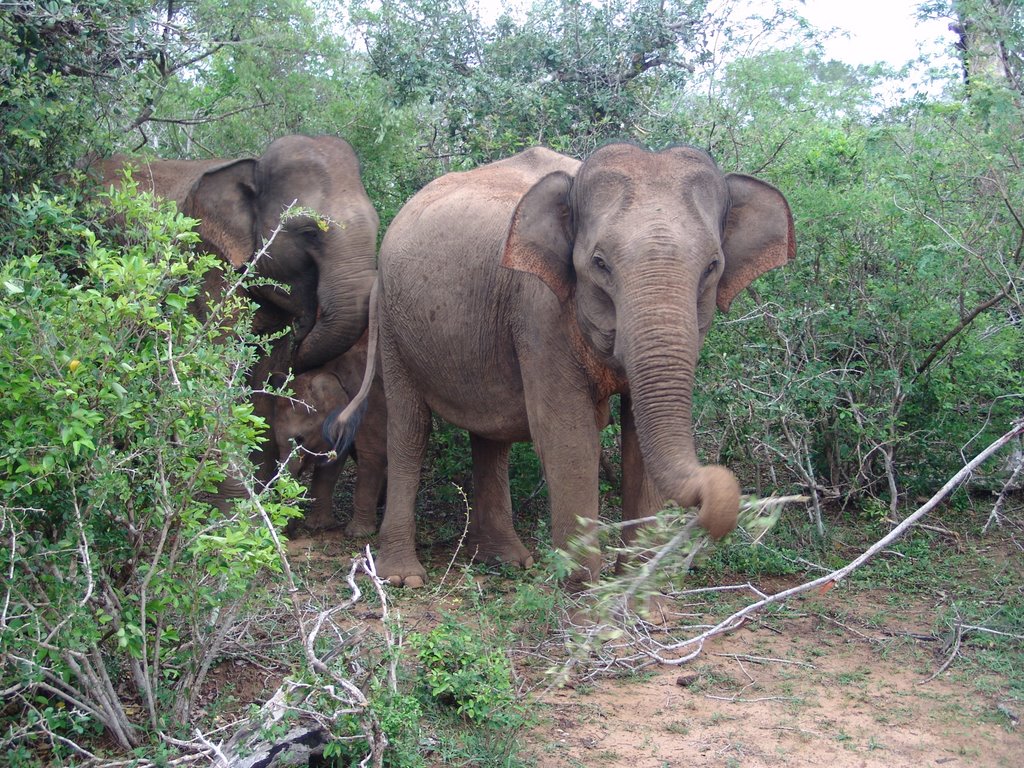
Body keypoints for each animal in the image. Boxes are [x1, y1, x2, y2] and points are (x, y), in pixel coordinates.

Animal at [264, 333, 387, 536]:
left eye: (300, 439)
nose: (289, 532)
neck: (330, 370)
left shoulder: (373, 400)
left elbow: (371, 451)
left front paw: (356, 533)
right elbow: (333, 461)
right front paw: (318, 526)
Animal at [331, 143, 794, 589]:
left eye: (712, 266)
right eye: (600, 263)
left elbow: (637, 442)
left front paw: (637, 596)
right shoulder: (538, 309)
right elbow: (567, 437)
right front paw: (582, 596)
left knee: (489, 433)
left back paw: (508, 561)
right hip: (394, 323)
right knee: (410, 428)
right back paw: (403, 577)